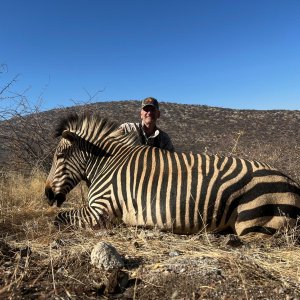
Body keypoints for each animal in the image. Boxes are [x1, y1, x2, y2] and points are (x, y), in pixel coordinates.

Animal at [44, 113, 300, 237]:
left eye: (60, 156)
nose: (47, 194)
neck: (107, 164)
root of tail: (293, 182)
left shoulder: (100, 211)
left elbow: (58, 218)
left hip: (253, 224)